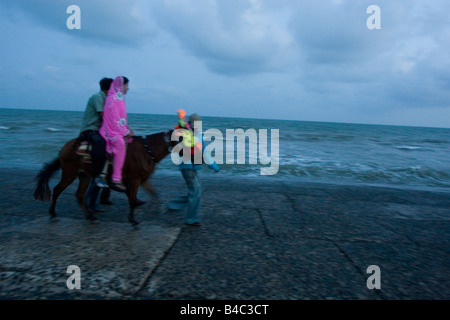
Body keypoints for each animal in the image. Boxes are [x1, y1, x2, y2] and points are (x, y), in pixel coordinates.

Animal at [32, 131, 174, 226]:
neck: (147, 150)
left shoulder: (141, 180)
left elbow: (150, 193)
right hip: (69, 173)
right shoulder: (135, 180)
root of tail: (65, 147)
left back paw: (91, 216)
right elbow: (132, 199)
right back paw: (53, 214)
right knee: (57, 190)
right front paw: (133, 220)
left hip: (84, 176)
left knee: (80, 195)